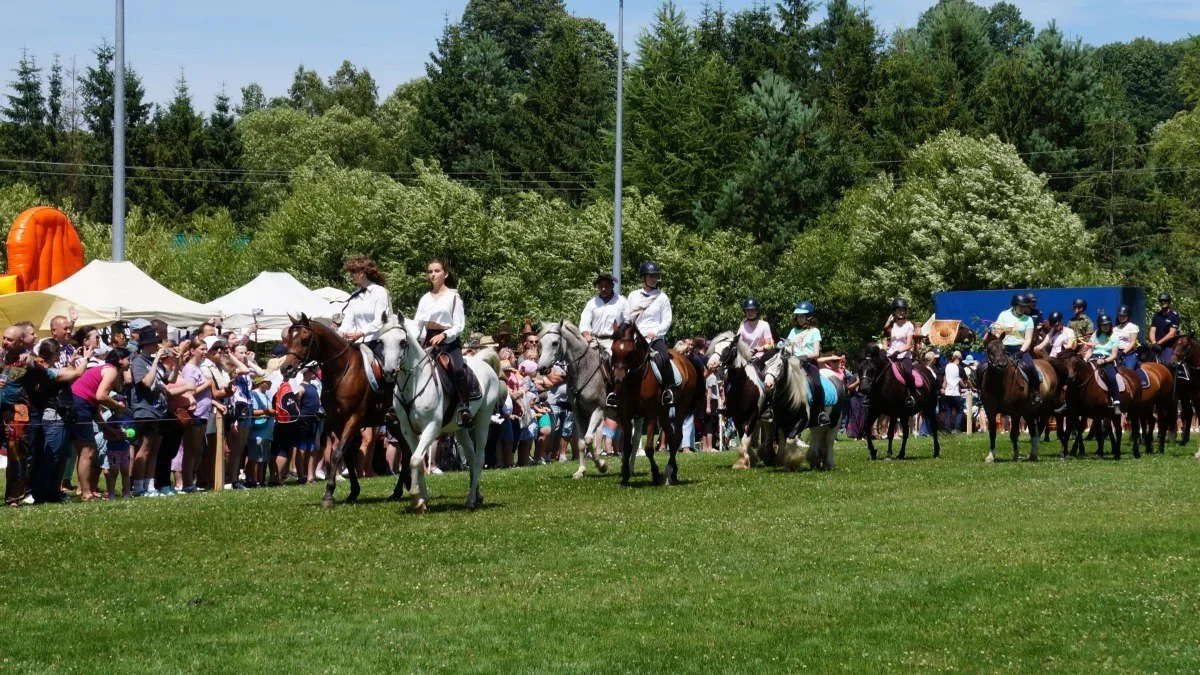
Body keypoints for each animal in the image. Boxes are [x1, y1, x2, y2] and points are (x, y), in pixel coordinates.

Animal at [279, 314, 403, 504]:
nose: (286, 368)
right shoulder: (337, 422)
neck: (342, 372)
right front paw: (352, 492)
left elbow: (338, 453)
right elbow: (346, 455)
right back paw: (397, 492)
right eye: (287, 340)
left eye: (305, 339)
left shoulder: (354, 419)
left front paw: (328, 494)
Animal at [379, 314, 501, 509]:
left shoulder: (431, 426)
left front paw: (415, 496)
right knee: (471, 457)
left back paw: (470, 501)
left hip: (483, 420)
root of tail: (483, 363)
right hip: (460, 429)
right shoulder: (407, 430)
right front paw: (422, 500)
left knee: (480, 458)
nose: (389, 372)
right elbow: (417, 460)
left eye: (402, 342)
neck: (414, 383)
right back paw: (476, 496)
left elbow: (415, 459)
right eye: (381, 342)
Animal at [537, 319, 609, 478]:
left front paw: (601, 465)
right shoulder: (578, 413)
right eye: (541, 343)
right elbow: (582, 442)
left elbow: (588, 439)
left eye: (555, 343)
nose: (541, 368)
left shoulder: (599, 410)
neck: (585, 369)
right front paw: (581, 470)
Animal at [609, 319, 700, 482]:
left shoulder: (650, 413)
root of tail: (686, 360)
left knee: (677, 435)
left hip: (681, 405)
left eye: (630, 351)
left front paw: (656, 473)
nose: (619, 379)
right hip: (663, 411)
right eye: (613, 349)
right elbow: (627, 447)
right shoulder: (625, 414)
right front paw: (625, 476)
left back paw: (668, 472)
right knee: (670, 434)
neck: (635, 379)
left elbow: (649, 448)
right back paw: (673, 472)